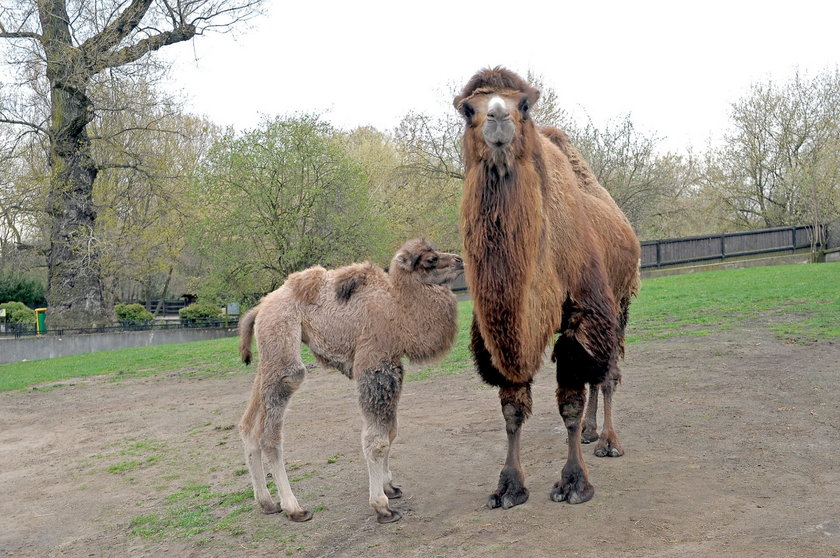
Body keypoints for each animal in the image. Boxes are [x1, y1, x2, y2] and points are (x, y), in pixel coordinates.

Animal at [236, 240, 462, 524]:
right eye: (430, 259)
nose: (459, 260)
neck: (398, 309)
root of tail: (261, 307)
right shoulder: (374, 363)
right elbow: (377, 439)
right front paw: (382, 506)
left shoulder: (394, 365)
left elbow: (391, 431)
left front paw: (390, 486)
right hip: (283, 341)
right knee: (271, 429)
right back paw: (294, 508)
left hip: (269, 356)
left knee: (248, 426)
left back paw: (267, 503)